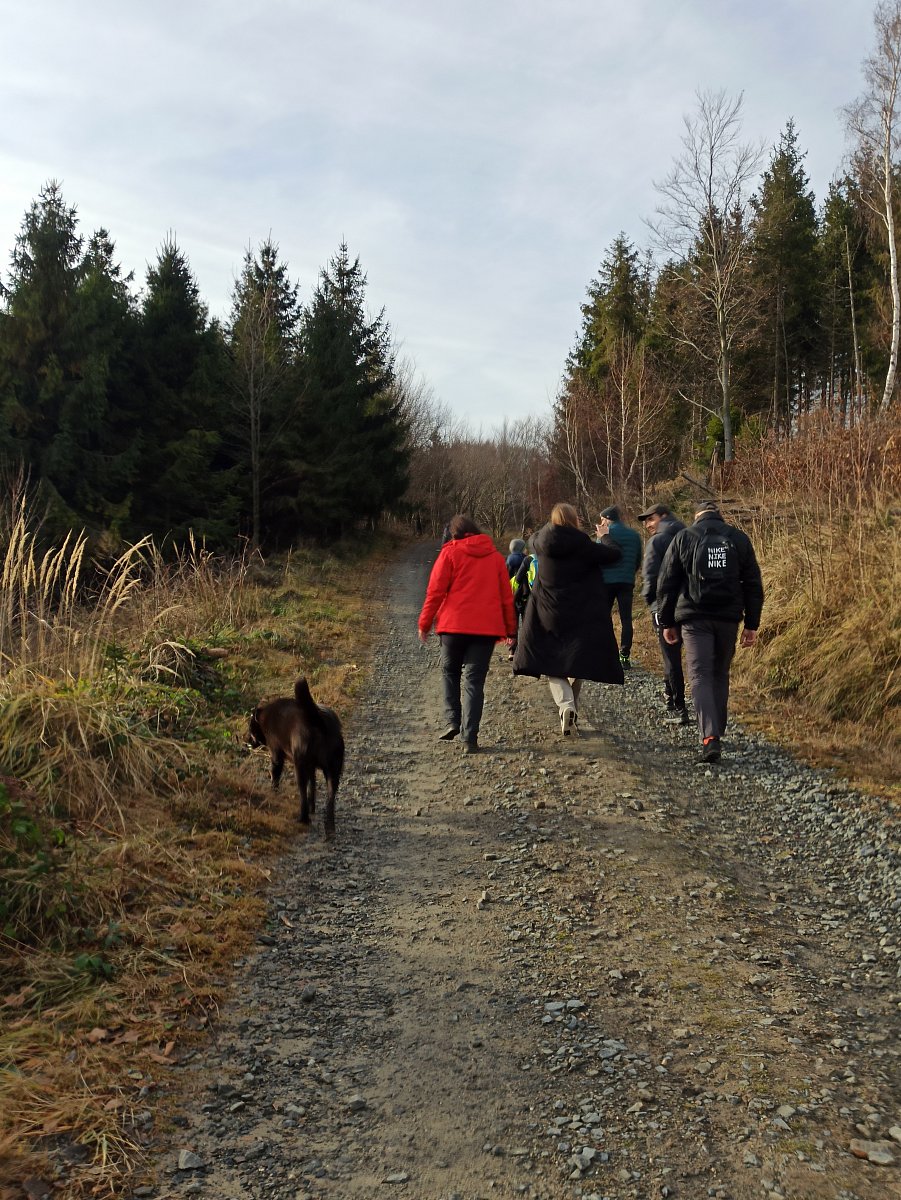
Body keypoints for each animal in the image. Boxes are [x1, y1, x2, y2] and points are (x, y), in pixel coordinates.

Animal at [247, 677, 345, 836]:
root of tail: (317, 719)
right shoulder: (312, 768)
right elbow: (313, 786)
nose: (246, 741)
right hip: (333, 771)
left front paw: (273, 793)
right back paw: (329, 827)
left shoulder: (276, 755)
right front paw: (313, 808)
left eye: (250, 727)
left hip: (300, 766)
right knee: (330, 798)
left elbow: (275, 777)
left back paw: (303, 819)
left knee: (302, 792)